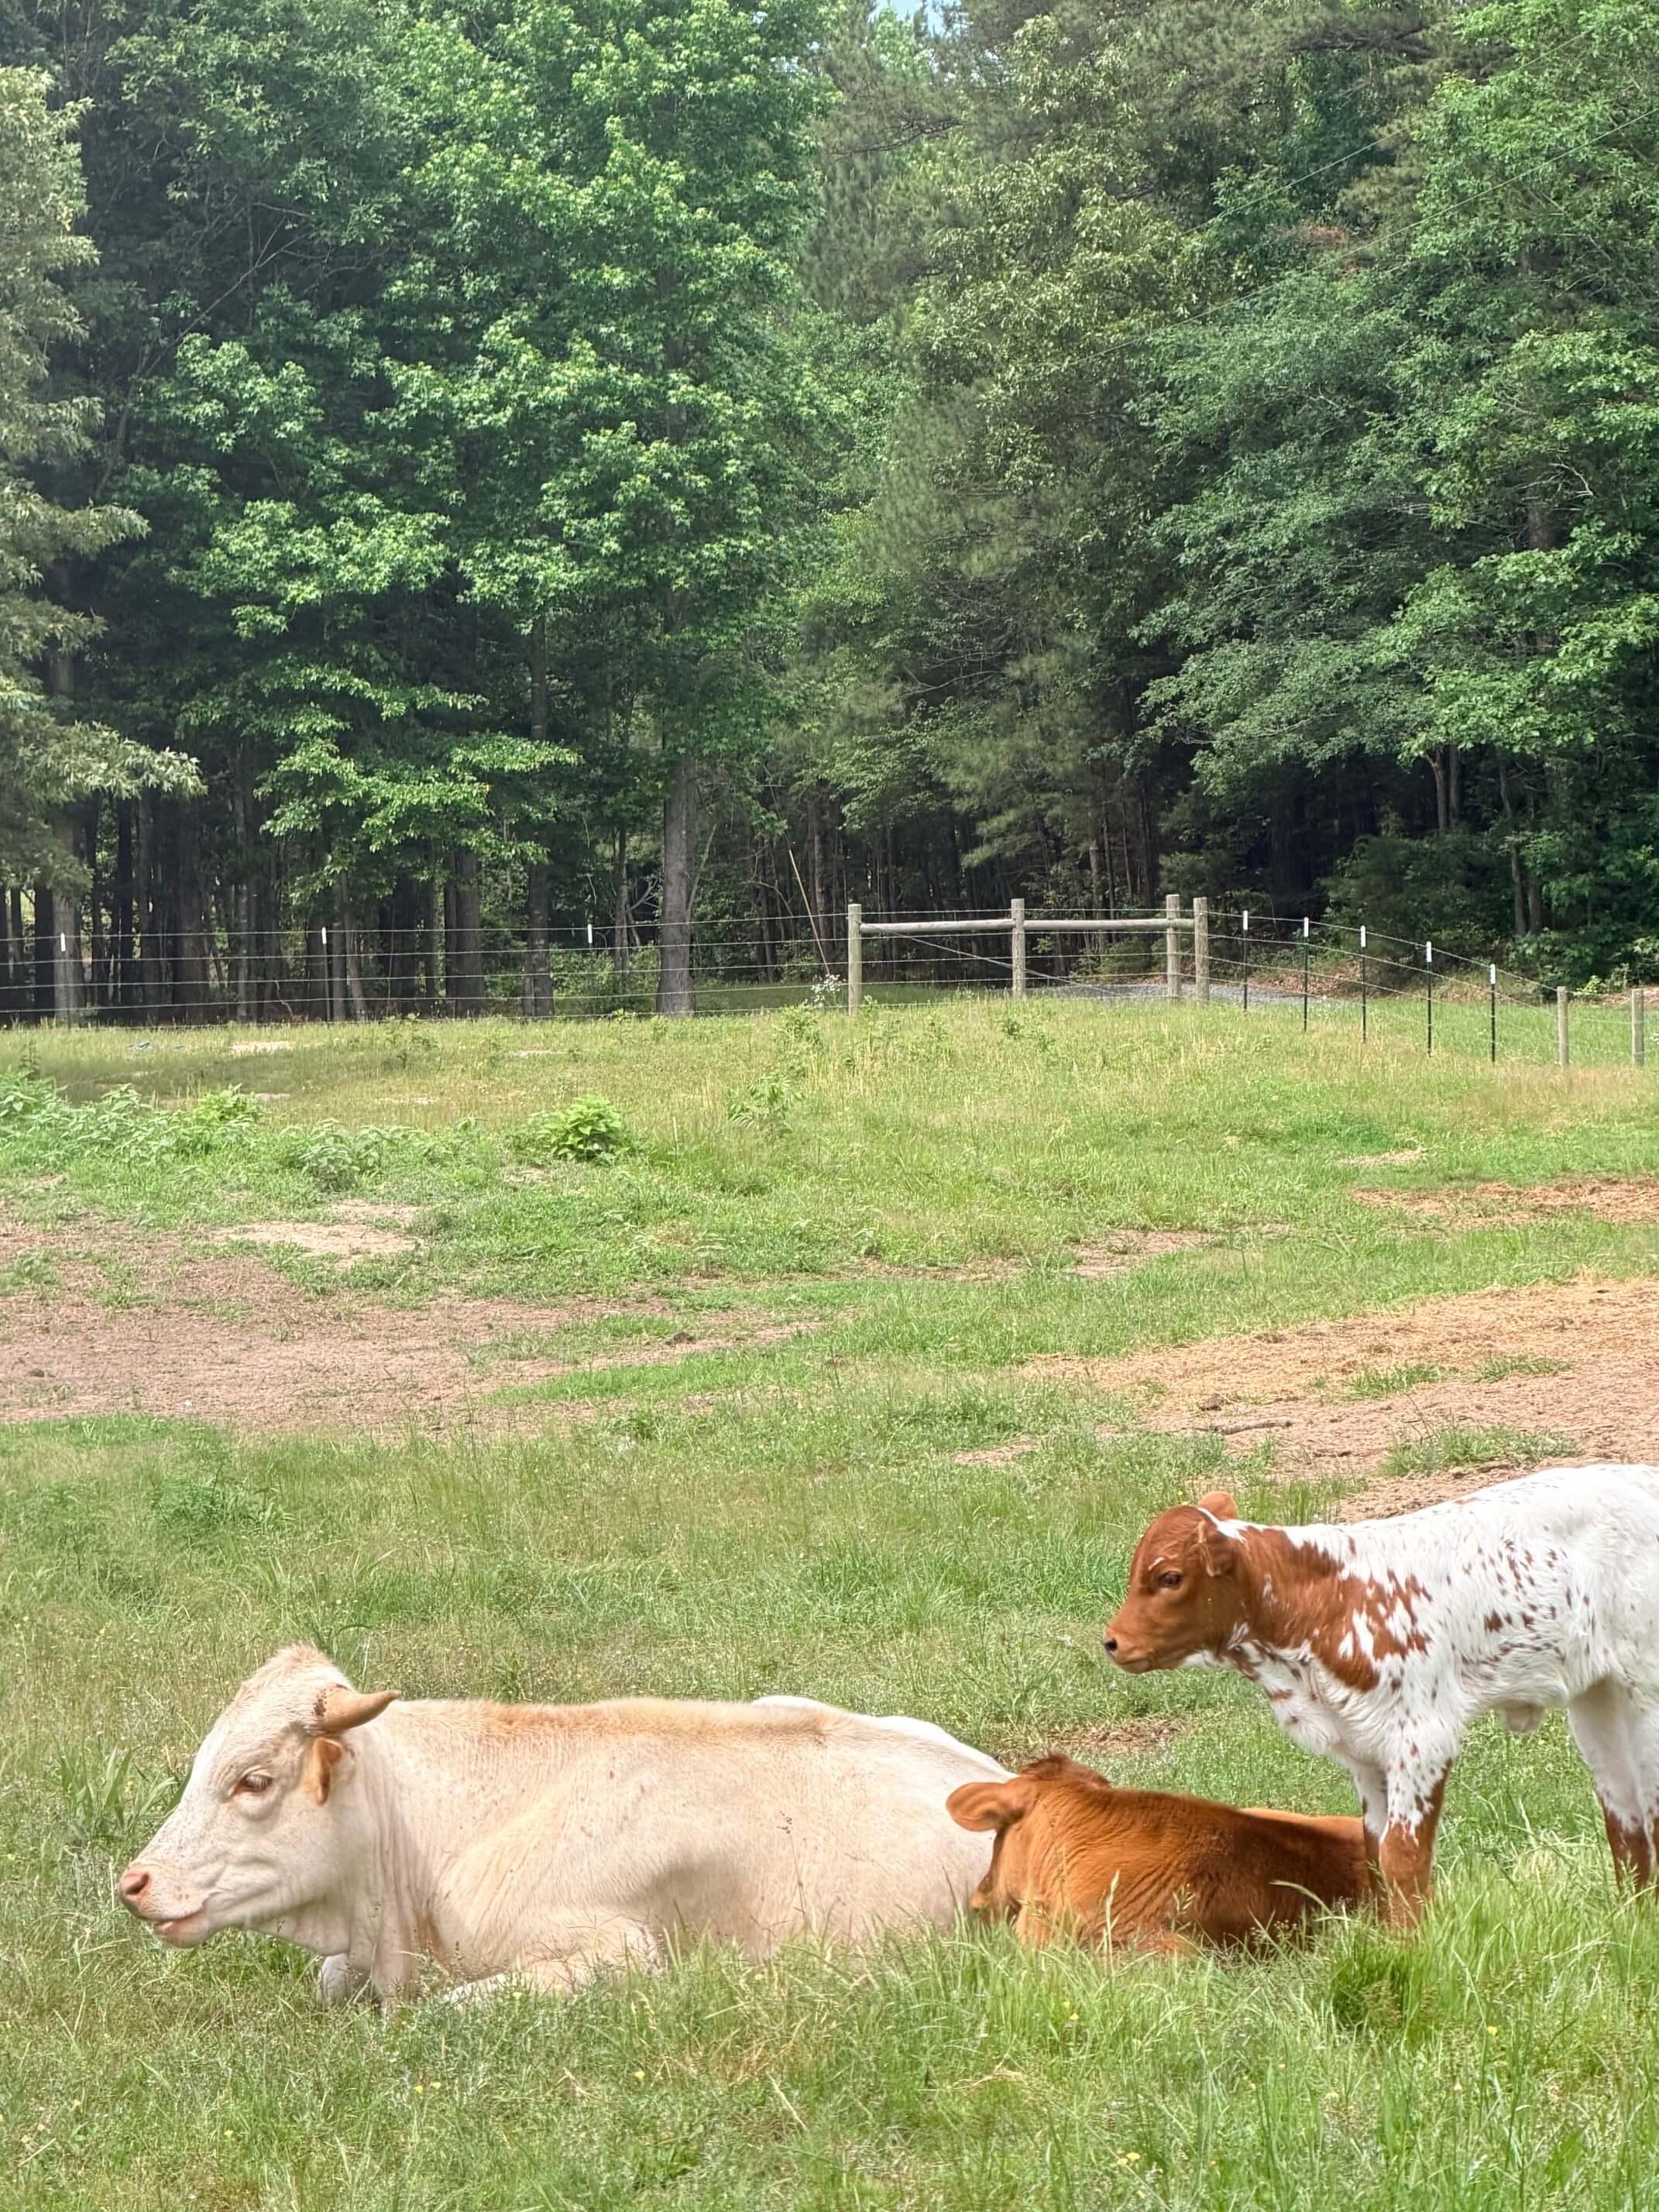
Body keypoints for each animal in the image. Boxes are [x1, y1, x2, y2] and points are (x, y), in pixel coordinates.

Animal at [1104, 1467, 1659, 1925]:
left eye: (1170, 1577)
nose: (1112, 1641)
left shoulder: (1424, 1736)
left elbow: (1403, 1856)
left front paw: (1415, 1945)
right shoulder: (1365, 1749)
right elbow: (1374, 1852)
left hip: (1645, 1692)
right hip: (1598, 1697)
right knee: (1625, 1813)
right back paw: (1633, 1921)